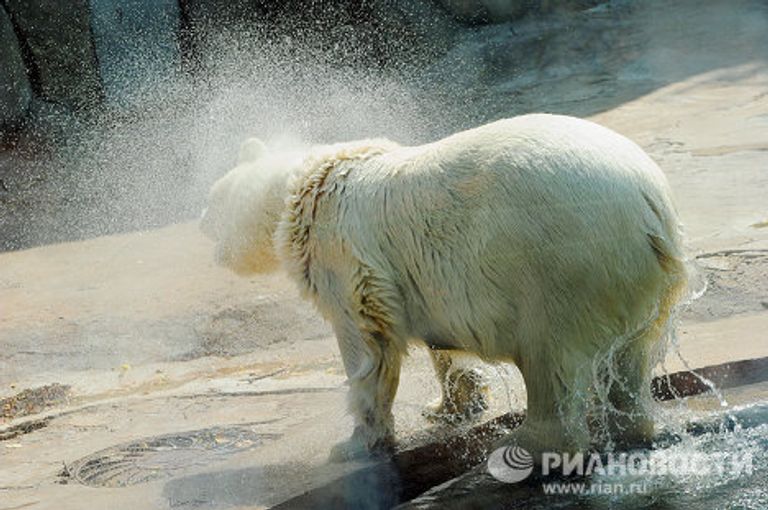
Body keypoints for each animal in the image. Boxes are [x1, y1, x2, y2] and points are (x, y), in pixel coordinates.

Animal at [201, 114, 689, 462]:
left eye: (211, 203)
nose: (203, 229)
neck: (304, 184)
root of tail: (651, 207)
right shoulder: (422, 279)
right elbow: (442, 345)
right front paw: (449, 405)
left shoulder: (345, 256)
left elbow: (366, 344)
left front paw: (355, 442)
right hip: (635, 281)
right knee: (628, 359)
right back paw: (631, 426)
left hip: (560, 264)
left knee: (550, 356)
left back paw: (526, 444)